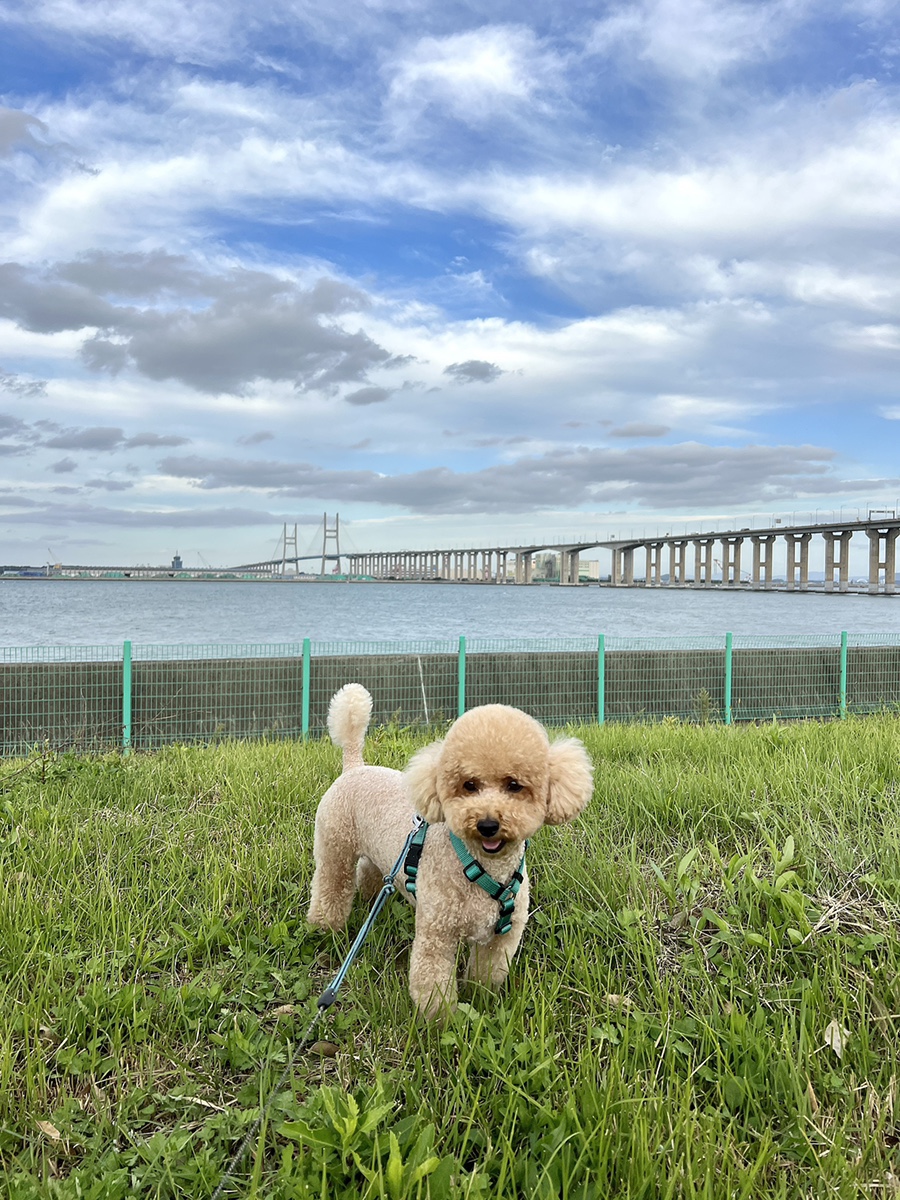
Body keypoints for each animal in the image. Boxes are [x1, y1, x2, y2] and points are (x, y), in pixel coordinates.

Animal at [307, 691, 595, 1017]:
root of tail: (355, 765)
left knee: (368, 872)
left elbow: (486, 975)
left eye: (514, 785)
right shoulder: (437, 935)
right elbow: (434, 984)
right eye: (469, 785)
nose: (487, 824)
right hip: (335, 845)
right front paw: (441, 1021)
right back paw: (324, 927)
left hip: (376, 854)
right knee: (331, 883)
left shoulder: (501, 938)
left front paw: (481, 1000)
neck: (480, 868)